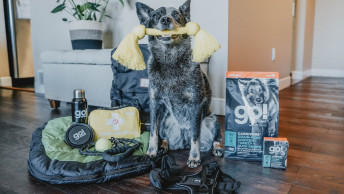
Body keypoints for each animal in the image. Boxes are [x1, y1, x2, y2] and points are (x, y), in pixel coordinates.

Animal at [136, 0, 223, 167]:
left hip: (212, 119)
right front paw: (151, 153)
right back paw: (163, 147)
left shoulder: (195, 105)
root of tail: (184, 140)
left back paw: (217, 148)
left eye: (176, 14)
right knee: (165, 139)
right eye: (155, 15)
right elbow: (153, 133)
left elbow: (195, 135)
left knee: (216, 138)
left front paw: (194, 157)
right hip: (165, 120)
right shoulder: (155, 103)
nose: (165, 19)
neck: (169, 60)